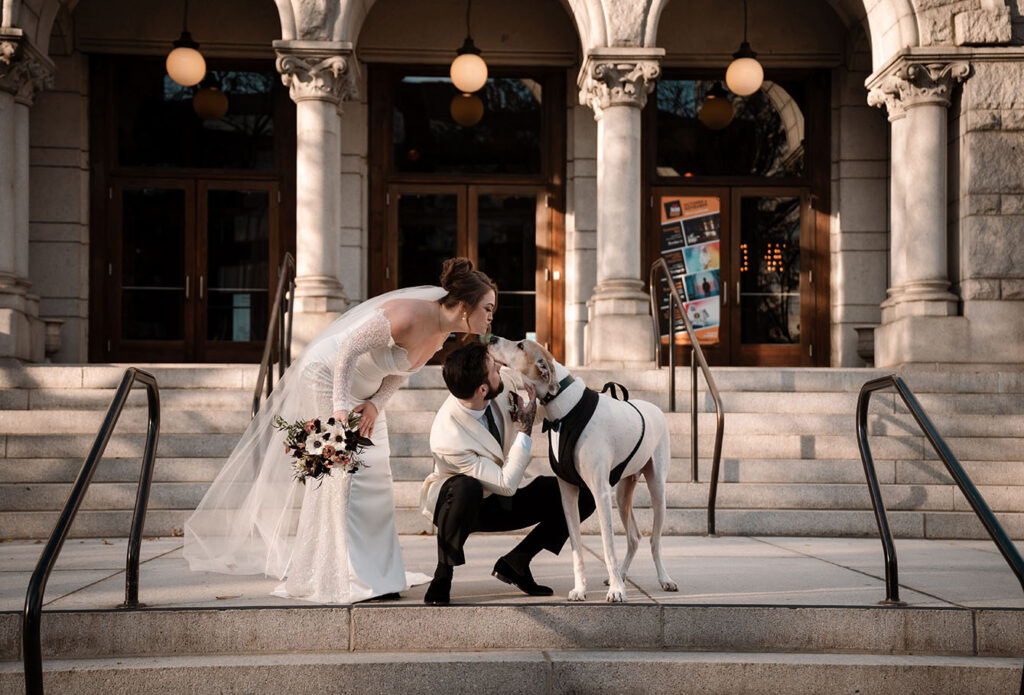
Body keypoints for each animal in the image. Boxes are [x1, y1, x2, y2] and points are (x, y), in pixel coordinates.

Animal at [489, 337, 679, 601]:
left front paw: (616, 591)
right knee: (634, 537)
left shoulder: (600, 492)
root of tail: (655, 408)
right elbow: (576, 548)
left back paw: (663, 579)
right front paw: (581, 588)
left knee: (654, 541)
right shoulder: (568, 493)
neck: (564, 411)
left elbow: (608, 546)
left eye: (520, 346)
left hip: (657, 488)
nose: (491, 338)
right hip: (623, 494)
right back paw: (620, 575)